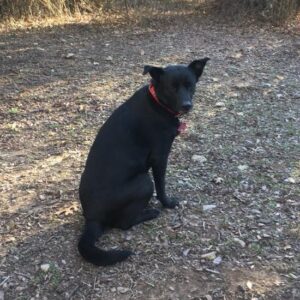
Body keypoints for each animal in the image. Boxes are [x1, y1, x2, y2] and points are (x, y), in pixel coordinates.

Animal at [78, 58, 209, 264]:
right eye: (171, 88)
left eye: (190, 85)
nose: (187, 105)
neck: (158, 103)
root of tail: (92, 219)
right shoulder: (160, 156)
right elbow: (161, 186)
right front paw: (168, 203)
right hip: (144, 182)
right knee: (123, 223)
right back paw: (150, 213)